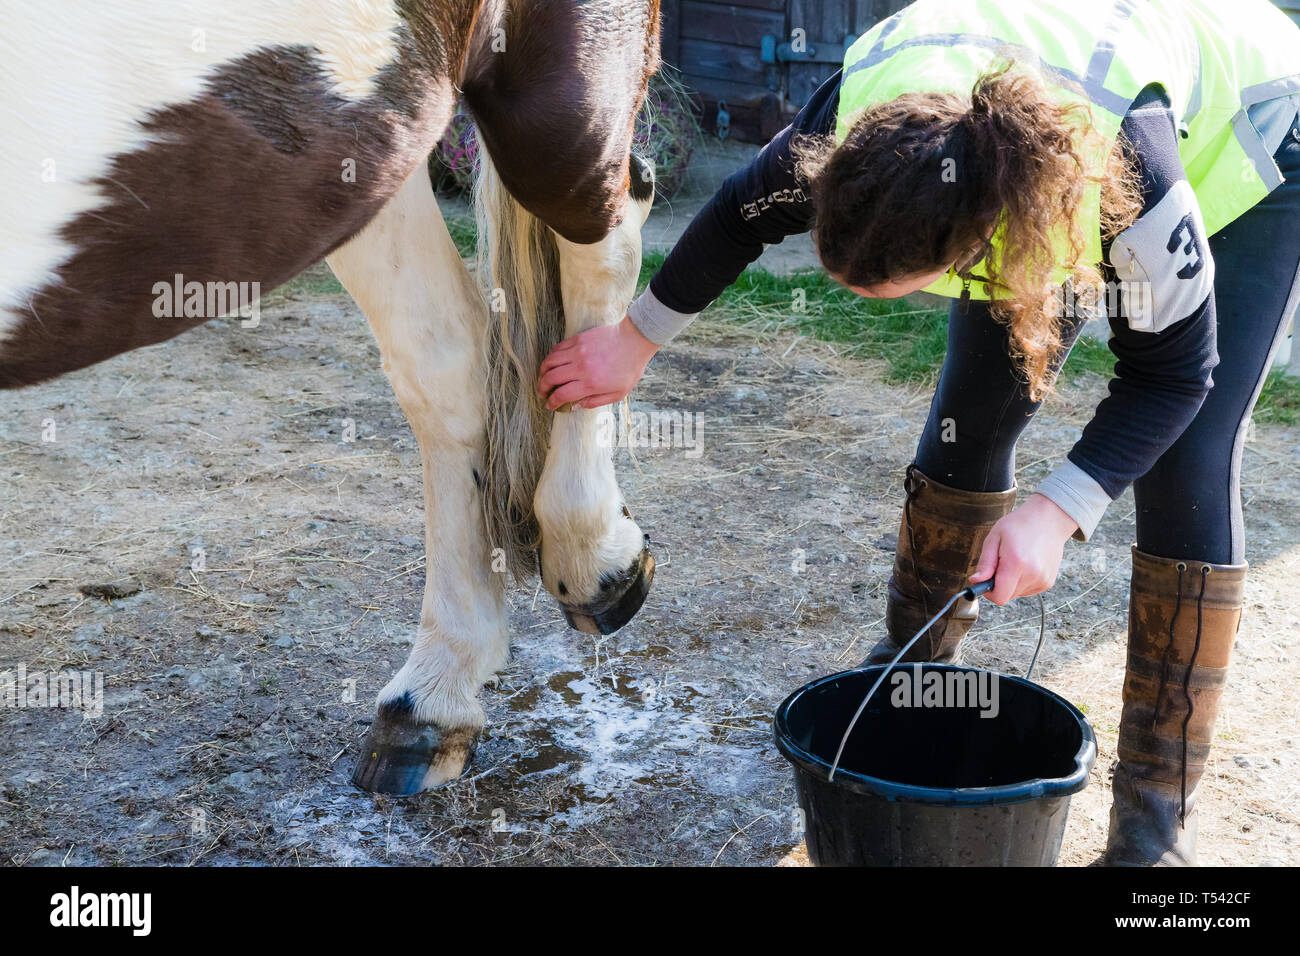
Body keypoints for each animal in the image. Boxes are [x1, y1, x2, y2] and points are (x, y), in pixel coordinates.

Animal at [2, 0, 660, 790]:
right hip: (369, 145)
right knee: (450, 357)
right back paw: (430, 702)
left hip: (556, 96)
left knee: (608, 245)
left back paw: (594, 561)